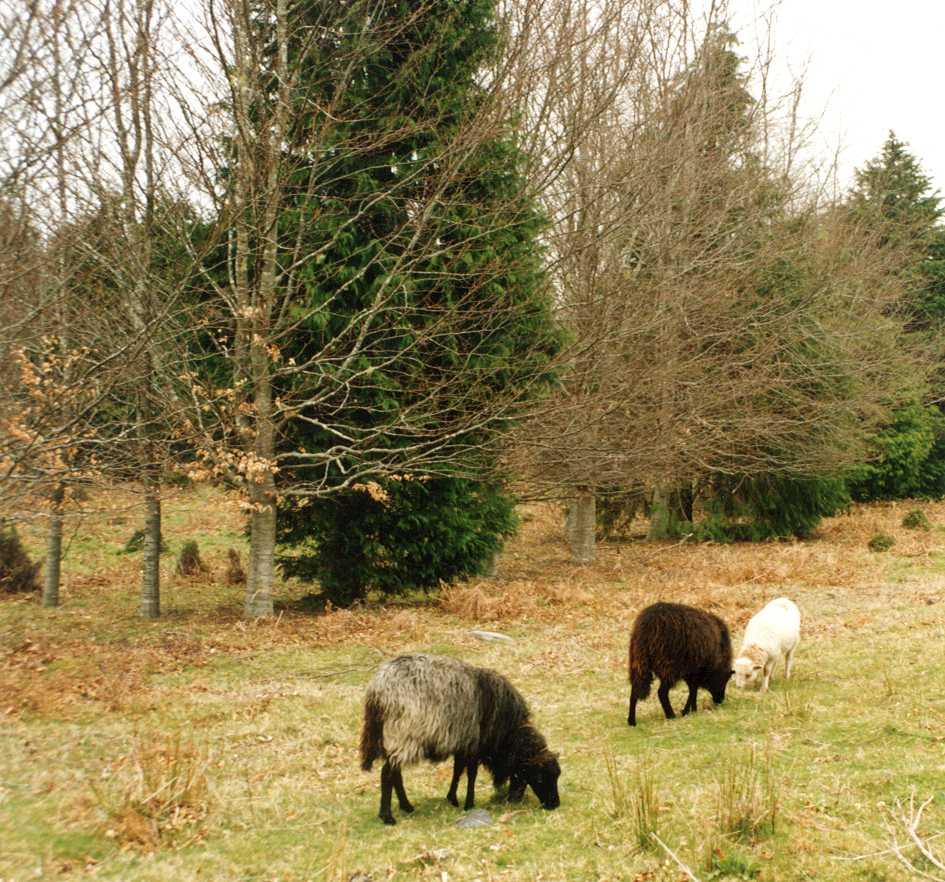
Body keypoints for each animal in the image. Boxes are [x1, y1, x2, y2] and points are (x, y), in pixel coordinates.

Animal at [358, 648, 556, 820]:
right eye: (539, 776)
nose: (554, 805)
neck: (507, 735)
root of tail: (377, 691)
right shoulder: (474, 745)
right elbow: (471, 775)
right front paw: (469, 804)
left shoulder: (462, 743)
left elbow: (457, 771)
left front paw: (452, 798)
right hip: (404, 735)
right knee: (387, 773)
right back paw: (387, 816)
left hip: (395, 737)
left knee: (395, 773)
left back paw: (407, 807)